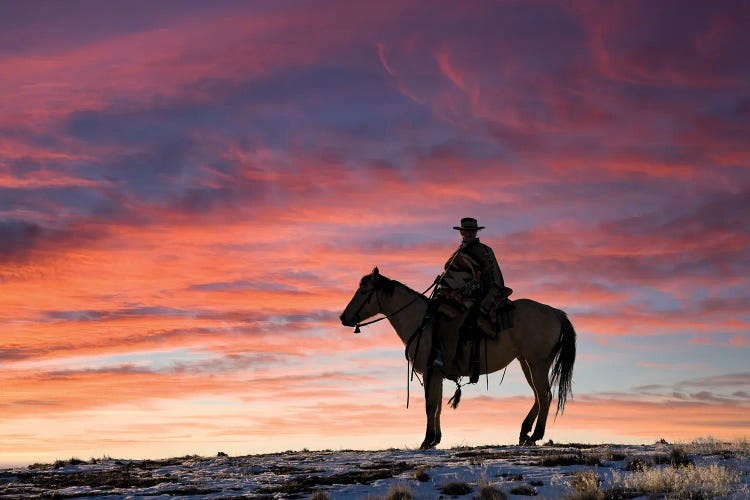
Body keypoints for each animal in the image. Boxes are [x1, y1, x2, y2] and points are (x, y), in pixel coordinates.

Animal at [344, 268, 580, 452]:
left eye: (363, 291)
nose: (343, 317)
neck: (421, 321)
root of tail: (556, 313)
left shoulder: (430, 372)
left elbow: (430, 406)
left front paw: (426, 441)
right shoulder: (436, 374)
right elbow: (438, 406)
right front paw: (435, 440)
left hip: (537, 362)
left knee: (544, 395)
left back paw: (535, 435)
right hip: (526, 362)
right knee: (539, 396)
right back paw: (524, 433)